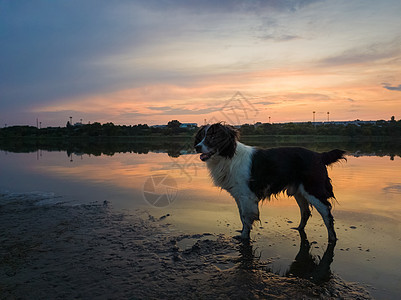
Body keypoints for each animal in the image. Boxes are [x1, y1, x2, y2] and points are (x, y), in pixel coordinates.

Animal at [194, 123, 344, 243]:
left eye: (213, 137)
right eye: (201, 137)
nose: (197, 147)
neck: (228, 157)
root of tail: (319, 155)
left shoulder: (247, 196)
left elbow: (246, 218)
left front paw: (244, 237)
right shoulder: (239, 195)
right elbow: (242, 216)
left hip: (313, 190)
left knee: (327, 214)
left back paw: (332, 238)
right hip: (299, 192)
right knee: (305, 212)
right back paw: (298, 228)